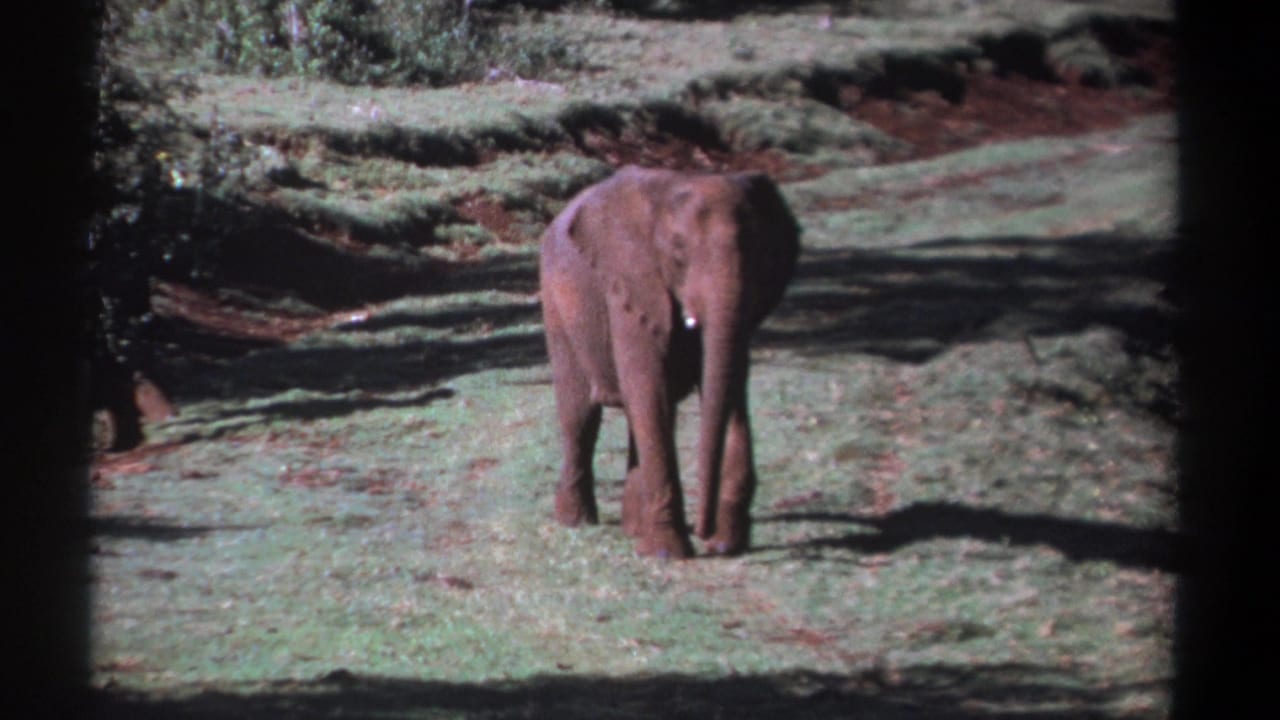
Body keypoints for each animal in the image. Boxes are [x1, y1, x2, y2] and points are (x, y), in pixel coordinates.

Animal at [539, 165, 800, 559]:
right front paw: (669, 553)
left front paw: (727, 544)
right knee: (580, 415)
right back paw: (577, 522)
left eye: (757, 249)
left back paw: (633, 530)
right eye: (677, 251)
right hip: (557, 306)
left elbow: (727, 390)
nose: (706, 532)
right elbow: (649, 390)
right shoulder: (632, 284)